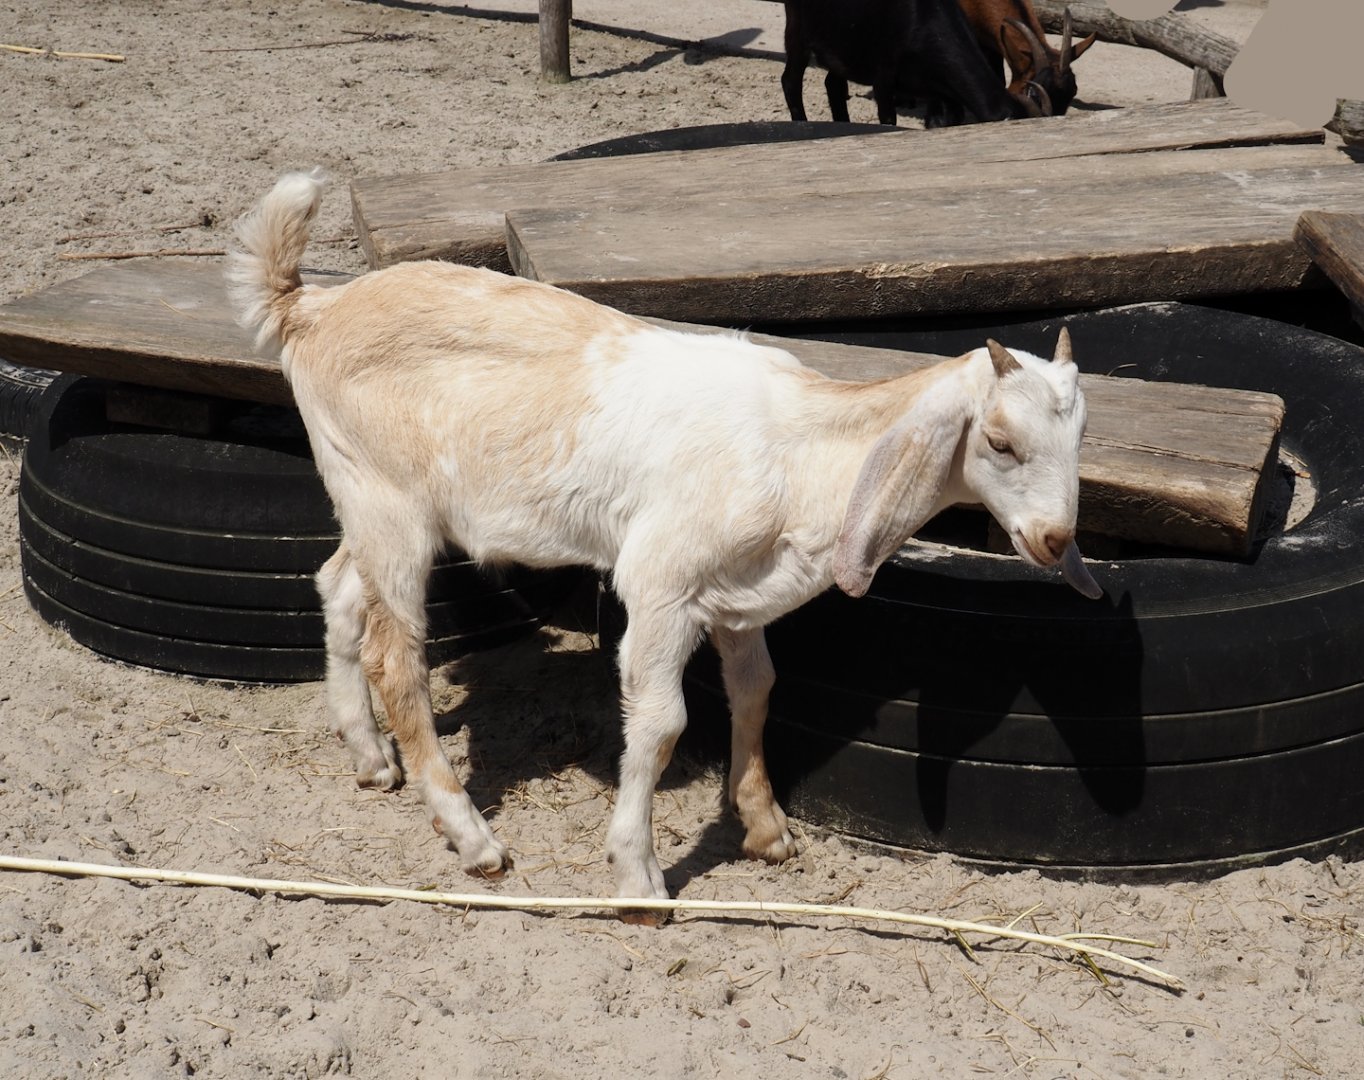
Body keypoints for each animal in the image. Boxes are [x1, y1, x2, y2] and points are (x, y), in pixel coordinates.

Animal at [228, 170, 1100, 906]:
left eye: (1079, 435)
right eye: (999, 441)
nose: (1054, 538)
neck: (800, 449)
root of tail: (310, 308)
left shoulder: (738, 594)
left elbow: (758, 691)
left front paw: (764, 827)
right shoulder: (661, 583)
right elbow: (660, 725)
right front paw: (637, 876)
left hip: (362, 496)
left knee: (338, 587)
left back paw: (372, 759)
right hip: (390, 502)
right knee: (397, 657)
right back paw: (472, 837)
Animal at [781, 0, 1050, 127]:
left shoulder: (941, 90)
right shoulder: (883, 77)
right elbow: (888, 118)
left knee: (834, 85)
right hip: (798, 33)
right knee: (790, 82)